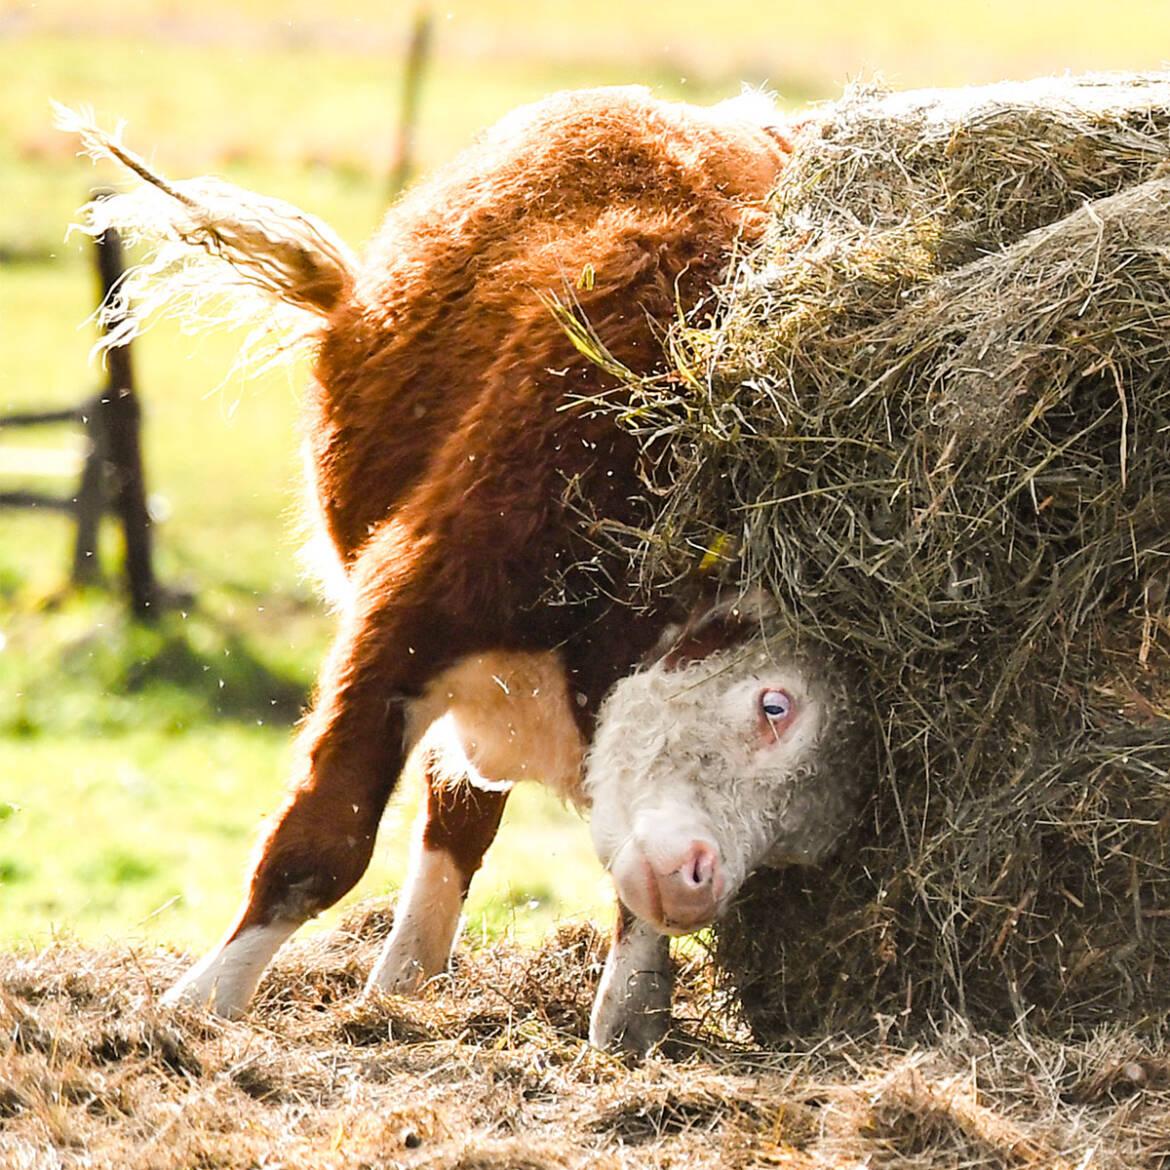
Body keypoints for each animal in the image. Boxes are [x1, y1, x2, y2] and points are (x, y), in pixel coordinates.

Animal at [70, 82, 861, 1053]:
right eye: (773, 705)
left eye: (809, 838)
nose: (699, 882)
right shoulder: (400, 620)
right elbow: (319, 845)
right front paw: (198, 1004)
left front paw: (629, 1020)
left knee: (460, 814)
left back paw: (405, 982)